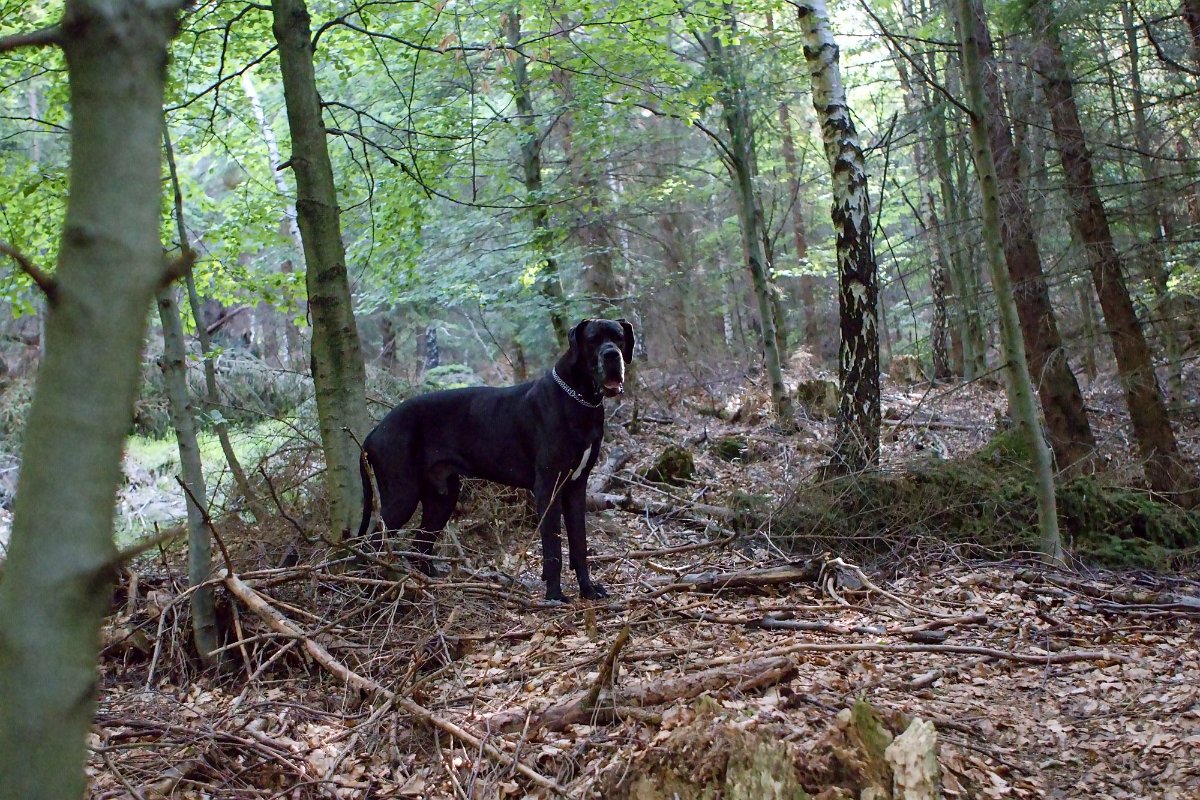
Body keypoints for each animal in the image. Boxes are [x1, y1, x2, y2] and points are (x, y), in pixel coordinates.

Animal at [357, 319, 633, 599]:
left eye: (619, 338)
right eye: (593, 339)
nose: (612, 355)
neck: (579, 399)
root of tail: (375, 431)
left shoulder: (576, 486)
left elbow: (579, 544)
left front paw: (588, 589)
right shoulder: (548, 487)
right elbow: (553, 547)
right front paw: (554, 595)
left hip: (442, 498)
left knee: (419, 545)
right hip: (402, 496)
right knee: (371, 543)